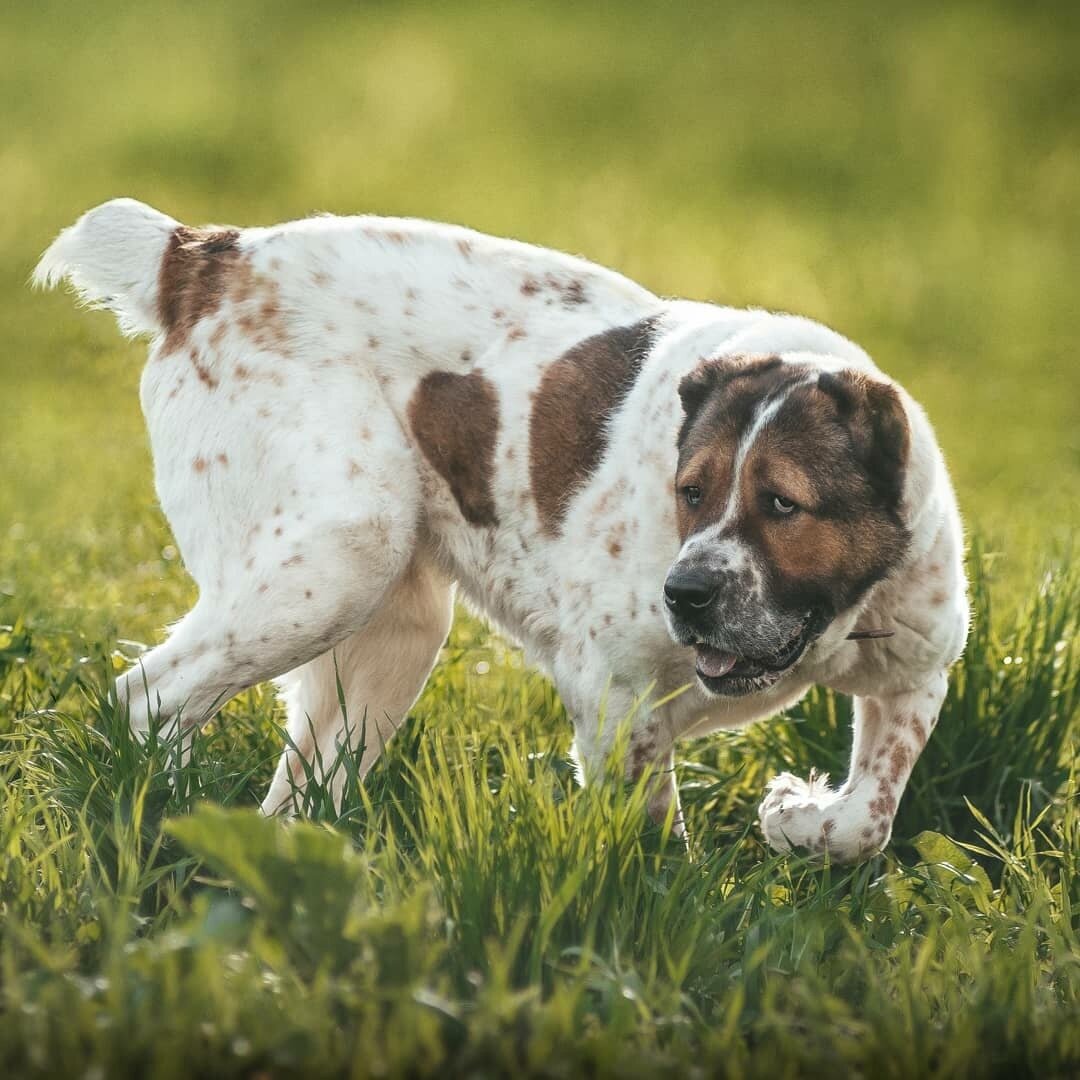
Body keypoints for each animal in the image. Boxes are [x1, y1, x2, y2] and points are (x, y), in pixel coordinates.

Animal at [35, 200, 972, 859]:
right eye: (692, 492)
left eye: (782, 503)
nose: (684, 594)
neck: (832, 624)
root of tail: (205, 257)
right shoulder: (613, 688)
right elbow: (653, 836)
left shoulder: (915, 674)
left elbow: (868, 819)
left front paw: (794, 815)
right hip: (338, 559)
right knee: (146, 697)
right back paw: (154, 812)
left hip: (394, 629)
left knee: (300, 787)